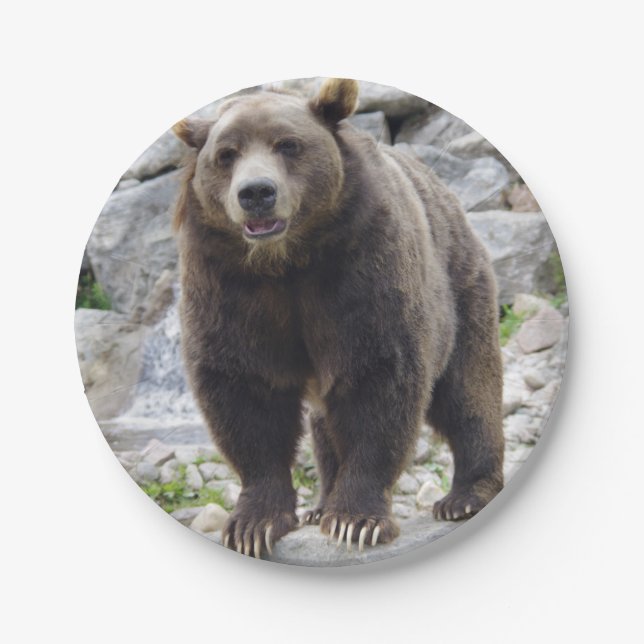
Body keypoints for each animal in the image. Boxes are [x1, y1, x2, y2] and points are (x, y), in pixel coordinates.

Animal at [172, 78, 504, 558]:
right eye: (226, 154)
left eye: (288, 144)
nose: (256, 193)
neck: (286, 262)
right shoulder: (227, 283)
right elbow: (244, 388)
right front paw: (253, 525)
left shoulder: (361, 264)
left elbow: (376, 378)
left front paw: (355, 520)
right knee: (324, 422)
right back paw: (319, 505)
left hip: (461, 288)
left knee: (467, 390)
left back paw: (466, 495)